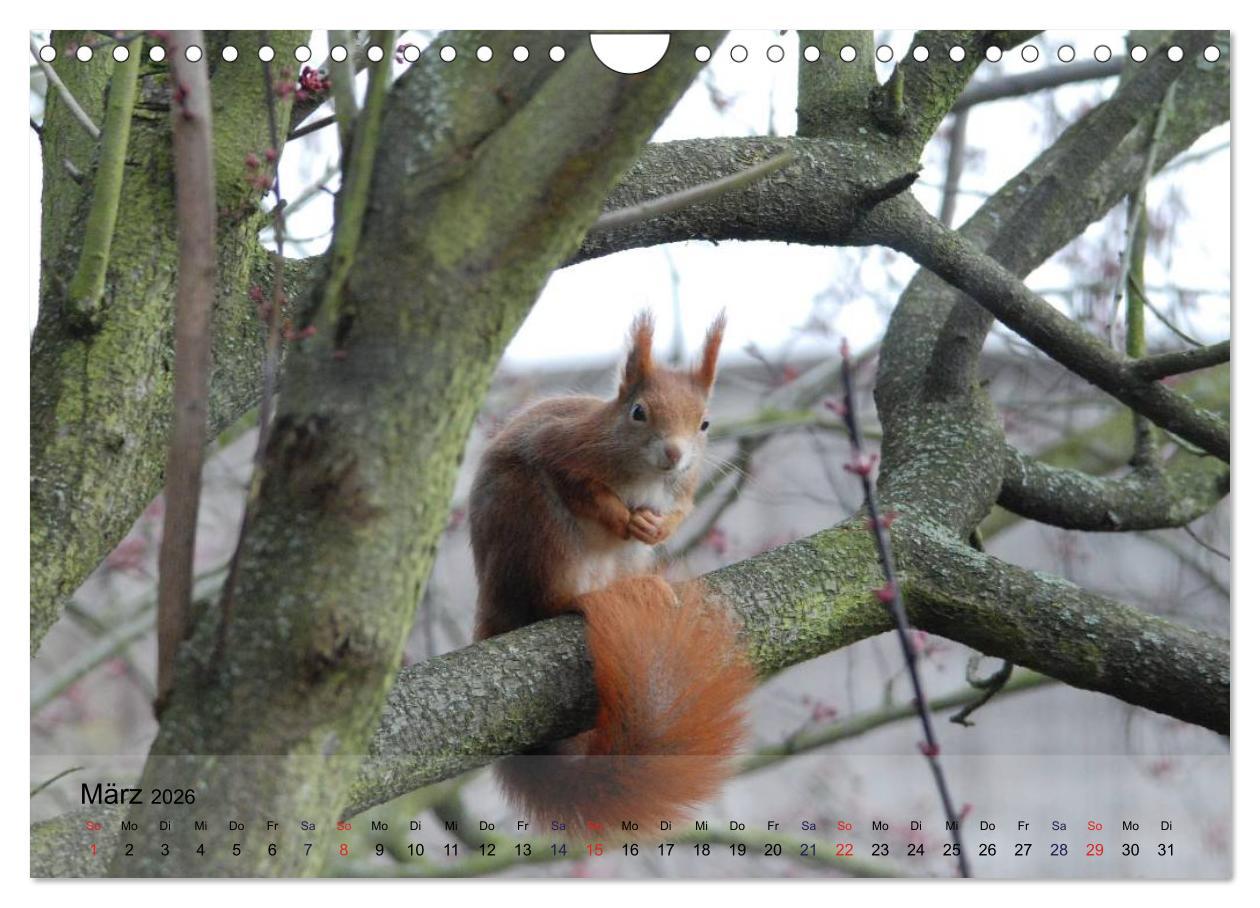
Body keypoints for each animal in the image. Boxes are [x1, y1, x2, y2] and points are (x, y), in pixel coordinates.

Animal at [468, 311, 756, 832]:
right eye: (638, 412)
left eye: (705, 423)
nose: (674, 454)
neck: (646, 475)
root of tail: (493, 603)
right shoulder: (562, 448)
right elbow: (582, 488)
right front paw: (623, 518)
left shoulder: (683, 488)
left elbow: (681, 509)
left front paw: (658, 526)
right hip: (536, 526)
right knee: (549, 599)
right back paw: (582, 597)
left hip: (620, 558)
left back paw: (643, 588)